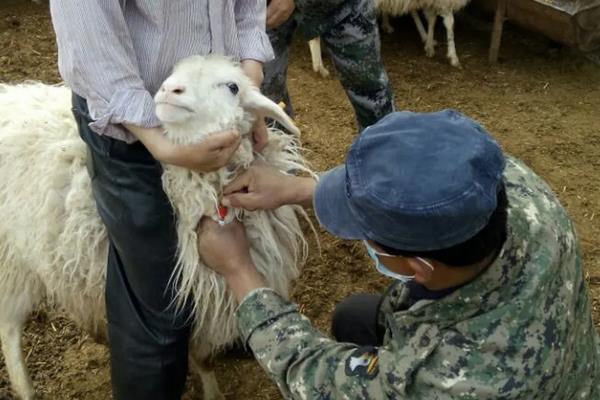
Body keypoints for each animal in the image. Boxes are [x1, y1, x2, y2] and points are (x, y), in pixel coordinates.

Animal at [0, 55, 312, 400]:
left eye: (233, 87)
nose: (169, 89)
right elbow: (200, 356)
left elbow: (204, 358)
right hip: (12, 259)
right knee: (8, 326)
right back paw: (25, 387)